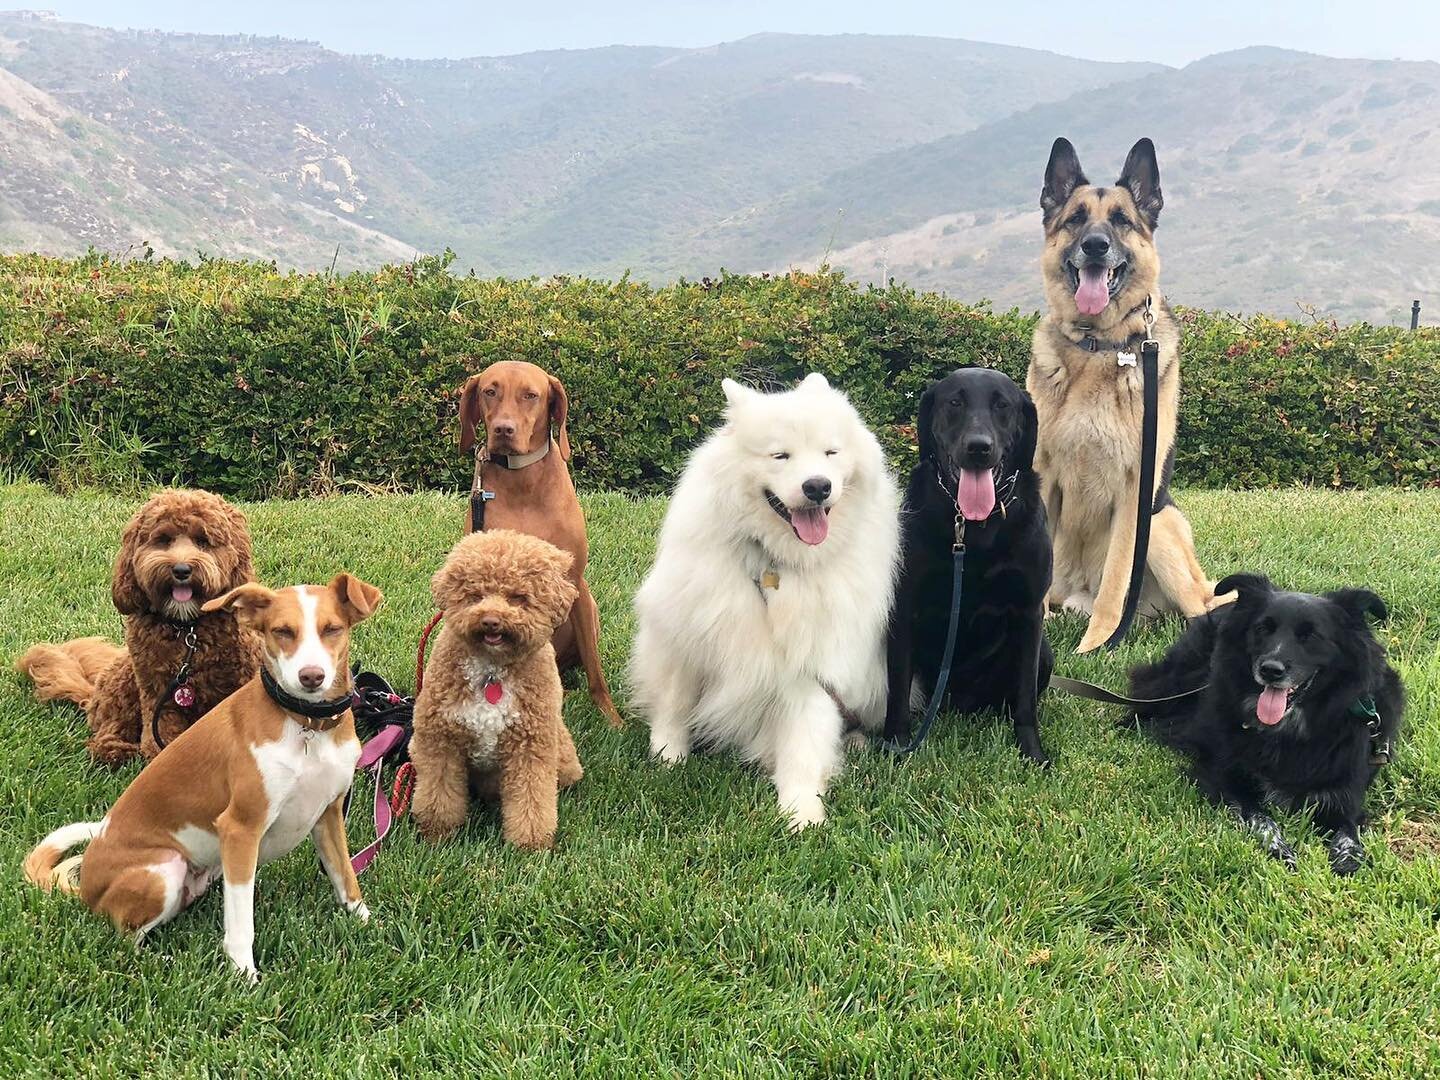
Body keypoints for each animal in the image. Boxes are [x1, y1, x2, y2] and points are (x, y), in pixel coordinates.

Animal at [24, 578, 383, 984]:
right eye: (282, 631)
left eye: (332, 629)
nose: (311, 677)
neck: (307, 726)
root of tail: (86, 888)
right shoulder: (240, 830)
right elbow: (241, 923)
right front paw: (244, 975)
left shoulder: (328, 816)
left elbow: (346, 878)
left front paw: (367, 924)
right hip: (164, 868)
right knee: (125, 937)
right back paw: (164, 963)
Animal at [408, 532, 581, 852]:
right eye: (475, 595)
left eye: (518, 597)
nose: (490, 620)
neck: (492, 670)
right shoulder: (440, 739)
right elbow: (439, 793)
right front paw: (437, 833)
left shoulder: (530, 747)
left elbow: (531, 800)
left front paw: (531, 845)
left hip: (562, 752)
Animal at [881, 368, 1054, 766]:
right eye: (954, 402)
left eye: (1003, 405)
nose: (978, 447)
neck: (975, 527)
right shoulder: (905, 608)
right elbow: (897, 691)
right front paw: (896, 744)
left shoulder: (1030, 613)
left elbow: (1026, 699)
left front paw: (1031, 751)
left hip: (1046, 655)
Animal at [1025, 139, 1226, 656]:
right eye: (1076, 219)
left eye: (1120, 220)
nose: (1095, 245)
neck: (1099, 346)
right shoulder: (1042, 478)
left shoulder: (1134, 495)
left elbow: (1117, 585)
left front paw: (1096, 646)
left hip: (1159, 529)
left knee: (1206, 607)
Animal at [1128, 570, 1399, 875]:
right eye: (1262, 629)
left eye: (1311, 635)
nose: (1270, 670)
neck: (1288, 729)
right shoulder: (1224, 777)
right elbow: (1260, 817)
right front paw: (1280, 849)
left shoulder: (1345, 793)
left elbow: (1348, 830)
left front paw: (1348, 859)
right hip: (1176, 680)